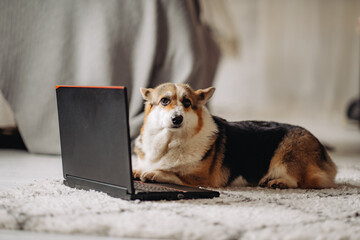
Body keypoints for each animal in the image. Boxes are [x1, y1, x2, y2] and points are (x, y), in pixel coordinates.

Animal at [133, 83, 338, 188]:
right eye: (164, 101)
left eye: (187, 103)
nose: (177, 119)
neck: (169, 141)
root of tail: (323, 150)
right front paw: (137, 170)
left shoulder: (201, 179)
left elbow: (172, 173)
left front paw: (153, 173)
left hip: (286, 156)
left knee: (299, 180)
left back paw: (277, 182)